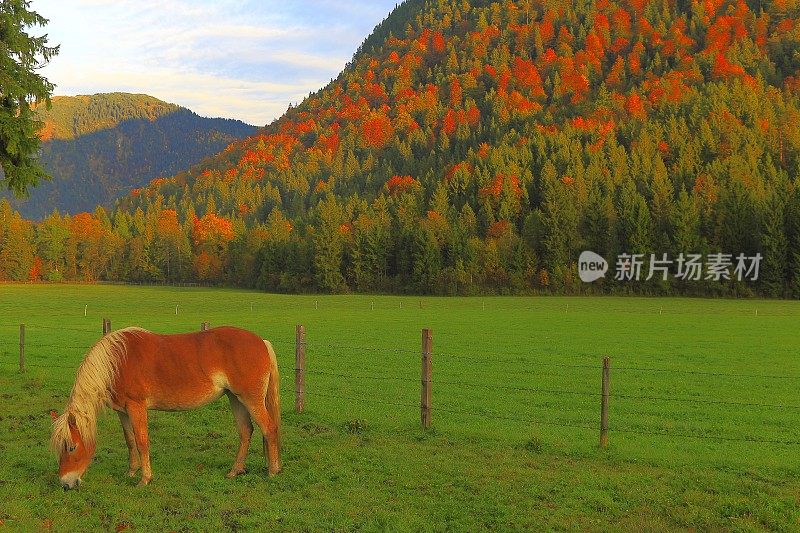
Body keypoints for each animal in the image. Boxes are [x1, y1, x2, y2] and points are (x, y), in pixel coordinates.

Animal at [50, 322, 282, 488]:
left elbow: (142, 441)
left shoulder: (136, 407)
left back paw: (272, 471)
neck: (117, 362)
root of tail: (261, 342)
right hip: (235, 398)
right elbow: (130, 441)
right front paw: (131, 472)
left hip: (250, 399)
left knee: (269, 429)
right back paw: (235, 471)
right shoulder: (123, 411)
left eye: (71, 447)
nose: (65, 484)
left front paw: (144, 479)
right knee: (246, 431)